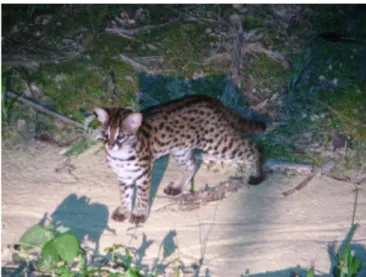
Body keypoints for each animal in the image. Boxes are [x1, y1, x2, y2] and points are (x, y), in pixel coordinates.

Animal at [94, 94, 266, 223]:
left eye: (121, 136)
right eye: (105, 134)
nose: (110, 146)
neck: (120, 155)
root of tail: (207, 98)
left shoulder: (143, 173)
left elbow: (142, 196)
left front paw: (139, 214)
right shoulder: (124, 175)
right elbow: (125, 195)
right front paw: (124, 211)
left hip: (217, 141)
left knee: (253, 146)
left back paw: (257, 175)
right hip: (181, 149)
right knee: (191, 164)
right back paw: (177, 187)